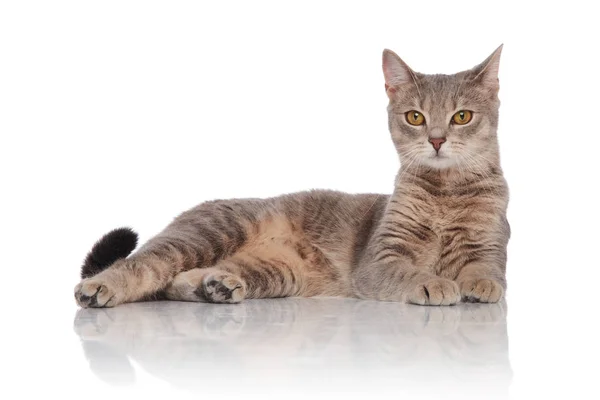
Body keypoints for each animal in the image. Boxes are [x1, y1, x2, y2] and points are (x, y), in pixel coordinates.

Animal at [72, 47, 508, 310]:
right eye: (415, 117)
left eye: (462, 116)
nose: (436, 140)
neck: (446, 193)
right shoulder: (381, 258)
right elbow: (408, 271)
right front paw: (435, 283)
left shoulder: (489, 246)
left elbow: (486, 271)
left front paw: (480, 286)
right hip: (209, 233)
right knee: (145, 265)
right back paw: (100, 288)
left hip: (278, 272)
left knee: (177, 280)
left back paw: (214, 286)